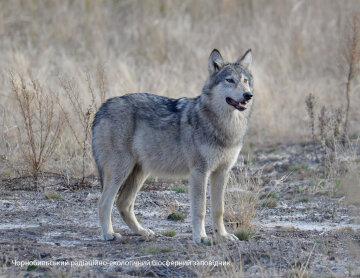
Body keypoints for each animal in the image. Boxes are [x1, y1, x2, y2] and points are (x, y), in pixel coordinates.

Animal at [92, 49, 253, 243]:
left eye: (245, 81)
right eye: (229, 80)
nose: (248, 95)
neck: (225, 127)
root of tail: (102, 107)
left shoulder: (222, 172)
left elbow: (218, 209)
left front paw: (222, 235)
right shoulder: (199, 172)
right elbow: (200, 209)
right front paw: (200, 237)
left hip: (139, 173)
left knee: (123, 203)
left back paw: (142, 231)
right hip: (120, 171)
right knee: (104, 202)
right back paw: (108, 234)